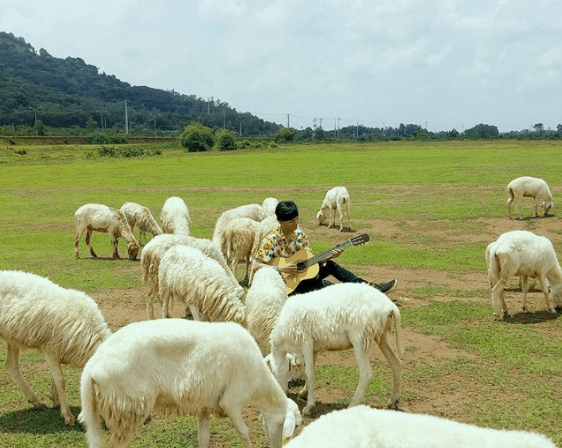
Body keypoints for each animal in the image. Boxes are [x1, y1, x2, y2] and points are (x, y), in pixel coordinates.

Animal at [0, 270, 111, 428]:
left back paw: (37, 402)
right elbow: (60, 381)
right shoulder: (49, 349)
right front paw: (68, 416)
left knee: (12, 366)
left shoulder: (58, 348)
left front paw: (55, 399)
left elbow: (55, 378)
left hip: (13, 337)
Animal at [77, 318, 302, 448]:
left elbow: (204, 437)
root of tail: (93, 365)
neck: (260, 386)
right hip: (128, 407)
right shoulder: (232, 401)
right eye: (291, 426)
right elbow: (245, 433)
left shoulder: (204, 405)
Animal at [270, 282, 400, 414]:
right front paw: (304, 392)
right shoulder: (312, 349)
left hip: (359, 337)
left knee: (366, 374)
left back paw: (352, 405)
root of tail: (389, 305)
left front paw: (309, 406)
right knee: (396, 362)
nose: (280, 397)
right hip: (382, 335)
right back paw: (393, 400)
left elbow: (309, 373)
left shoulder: (306, 342)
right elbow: (310, 370)